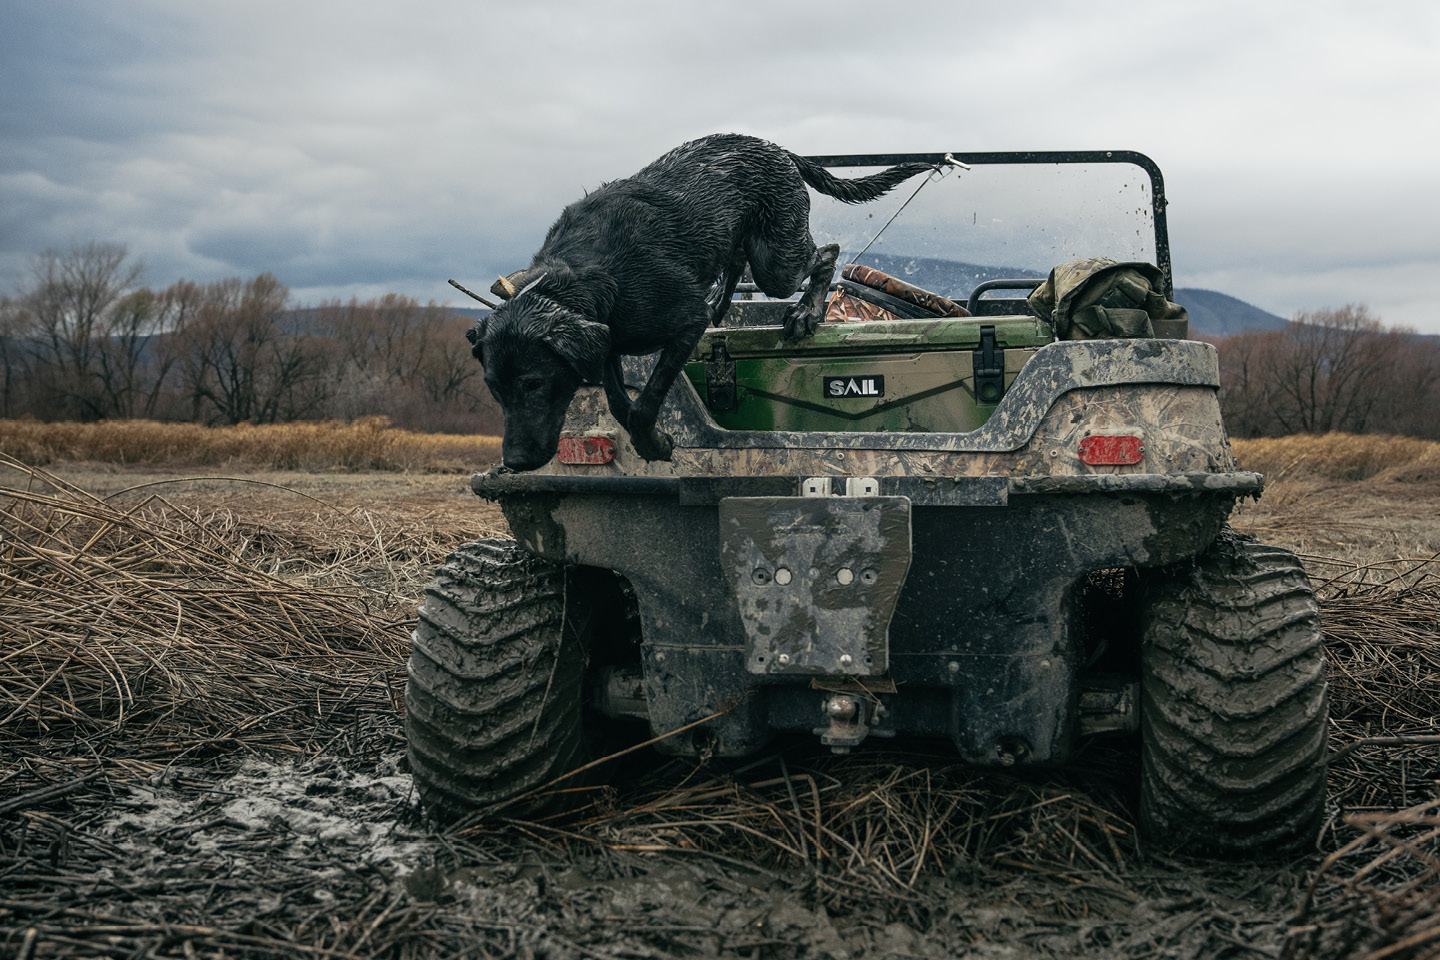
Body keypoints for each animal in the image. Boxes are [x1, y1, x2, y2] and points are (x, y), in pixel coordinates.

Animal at [466, 132, 927, 472]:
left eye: (534, 383)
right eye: (493, 388)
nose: (514, 462)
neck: (586, 270)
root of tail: (780, 150)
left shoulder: (685, 322)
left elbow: (645, 404)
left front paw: (654, 444)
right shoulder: (607, 339)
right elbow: (618, 401)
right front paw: (649, 436)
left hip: (775, 263)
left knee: (826, 254)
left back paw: (806, 312)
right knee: (737, 263)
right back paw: (724, 304)